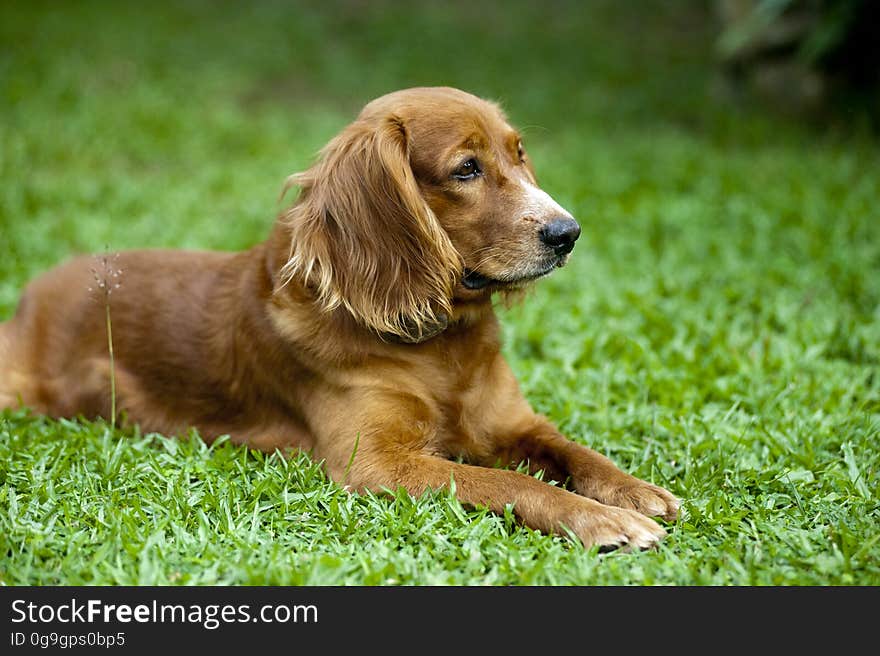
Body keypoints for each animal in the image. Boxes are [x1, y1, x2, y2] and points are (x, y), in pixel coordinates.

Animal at [0, 86, 680, 548]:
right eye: (466, 168)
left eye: (519, 156)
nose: (568, 233)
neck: (439, 344)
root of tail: (35, 291)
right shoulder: (376, 464)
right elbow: (513, 485)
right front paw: (602, 520)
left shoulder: (513, 423)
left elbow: (574, 452)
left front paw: (635, 491)